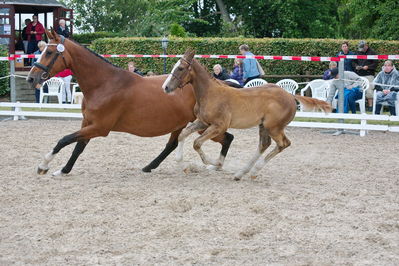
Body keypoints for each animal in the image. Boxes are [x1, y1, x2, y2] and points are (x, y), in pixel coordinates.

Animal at [27, 29, 234, 176]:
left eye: (50, 52)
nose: (31, 78)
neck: (104, 84)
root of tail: (217, 84)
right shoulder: (88, 123)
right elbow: (78, 146)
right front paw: (63, 170)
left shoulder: (99, 128)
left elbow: (64, 140)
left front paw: (44, 165)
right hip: (182, 124)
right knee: (174, 144)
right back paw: (150, 166)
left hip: (204, 124)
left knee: (227, 138)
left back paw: (216, 165)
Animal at [162, 48, 332, 180]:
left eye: (181, 68)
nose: (166, 87)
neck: (210, 93)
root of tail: (290, 96)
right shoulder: (203, 122)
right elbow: (183, 134)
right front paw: (181, 162)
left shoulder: (219, 126)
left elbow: (197, 143)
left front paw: (215, 164)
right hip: (264, 126)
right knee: (264, 145)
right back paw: (241, 173)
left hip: (274, 127)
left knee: (283, 144)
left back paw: (254, 171)